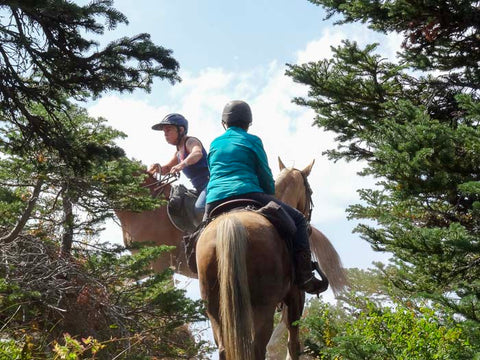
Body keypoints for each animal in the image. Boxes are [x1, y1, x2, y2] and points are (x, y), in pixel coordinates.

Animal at [196, 159, 348, 358]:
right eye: (310, 192)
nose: (309, 225)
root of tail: (231, 222)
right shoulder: (296, 297)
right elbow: (293, 344)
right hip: (263, 308)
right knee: (257, 347)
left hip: (216, 310)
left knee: (224, 348)